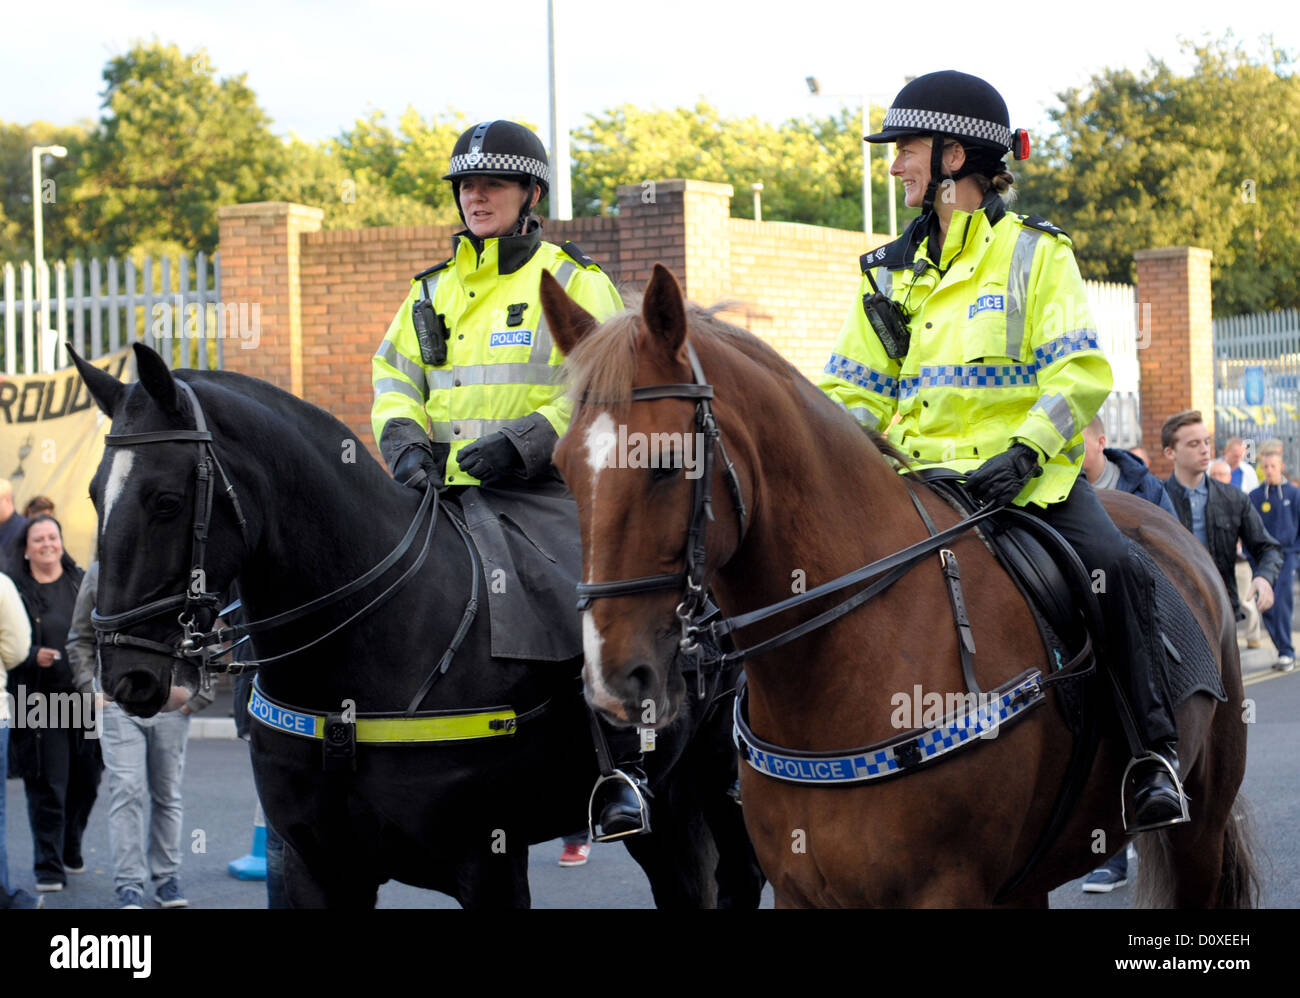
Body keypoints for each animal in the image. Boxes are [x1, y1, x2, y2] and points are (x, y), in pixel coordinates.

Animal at [538, 265, 1258, 914]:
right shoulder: (801, 893)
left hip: (1199, 831)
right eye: (563, 468)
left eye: (665, 463)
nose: (613, 680)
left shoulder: (945, 892)